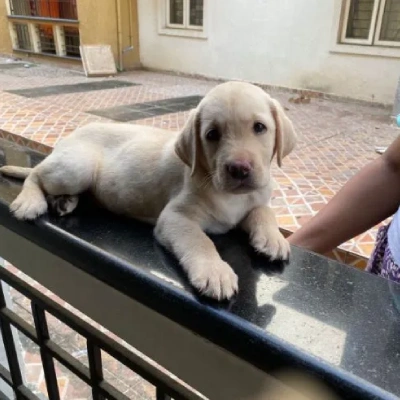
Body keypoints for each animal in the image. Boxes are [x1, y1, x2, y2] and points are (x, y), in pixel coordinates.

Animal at [0, 82, 296, 300]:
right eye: (212, 134)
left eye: (259, 128)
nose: (239, 169)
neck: (227, 194)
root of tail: (67, 139)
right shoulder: (175, 218)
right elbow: (200, 240)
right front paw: (214, 271)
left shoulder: (255, 199)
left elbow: (263, 212)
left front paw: (272, 239)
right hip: (77, 166)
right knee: (36, 174)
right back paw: (30, 202)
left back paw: (65, 201)